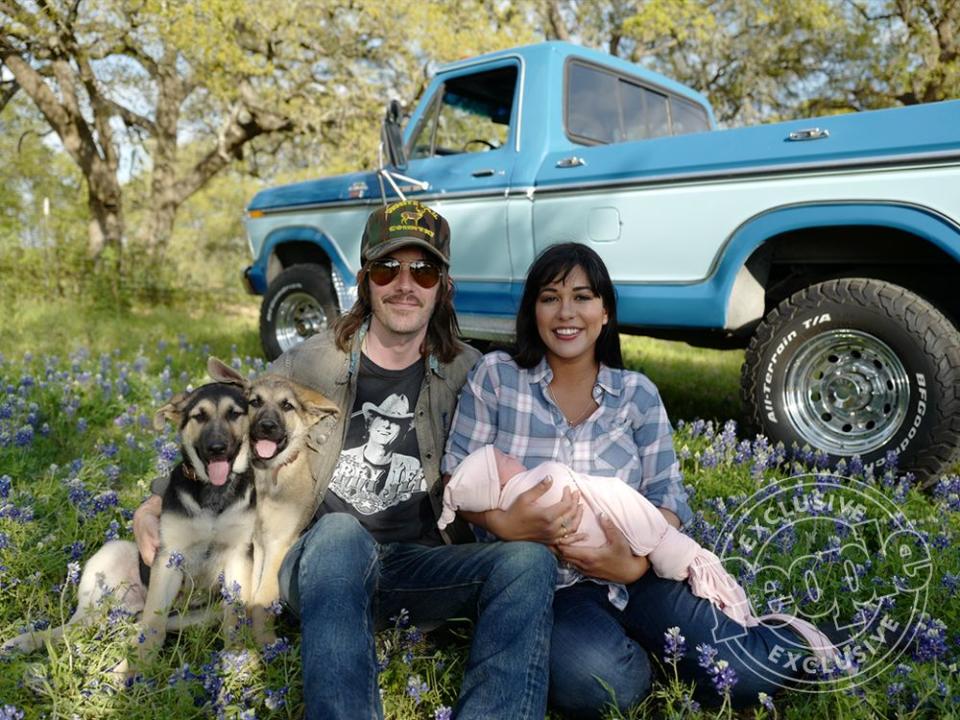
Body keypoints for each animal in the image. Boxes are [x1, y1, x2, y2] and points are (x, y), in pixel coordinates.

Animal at [2, 382, 255, 676]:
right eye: (199, 416)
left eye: (234, 413)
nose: (217, 448)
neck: (214, 493)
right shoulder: (169, 556)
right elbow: (153, 625)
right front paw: (134, 667)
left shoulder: (239, 556)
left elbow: (235, 617)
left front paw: (236, 657)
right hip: (112, 554)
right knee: (79, 626)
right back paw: (25, 642)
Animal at [208, 358, 340, 644]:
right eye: (255, 402)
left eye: (286, 405)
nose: (267, 426)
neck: (266, 476)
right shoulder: (251, 544)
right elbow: (240, 598)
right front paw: (236, 643)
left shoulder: (278, 542)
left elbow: (262, 598)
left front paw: (264, 642)